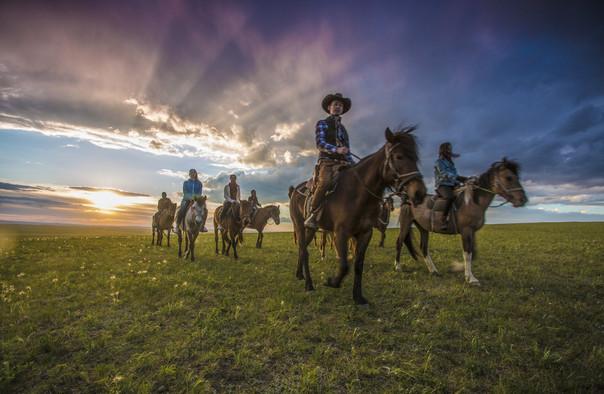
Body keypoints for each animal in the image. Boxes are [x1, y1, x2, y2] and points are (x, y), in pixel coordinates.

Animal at [292, 127, 424, 304]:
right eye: (399, 156)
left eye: (415, 157)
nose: (419, 192)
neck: (356, 193)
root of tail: (295, 190)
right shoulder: (341, 232)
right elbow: (344, 265)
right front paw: (331, 282)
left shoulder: (365, 233)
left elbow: (358, 265)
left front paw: (358, 297)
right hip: (300, 226)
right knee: (304, 250)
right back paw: (309, 285)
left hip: (311, 229)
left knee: (302, 248)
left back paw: (300, 274)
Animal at [394, 159, 528, 284]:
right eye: (508, 178)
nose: (523, 199)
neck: (472, 202)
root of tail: (407, 198)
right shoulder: (466, 231)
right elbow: (467, 254)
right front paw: (470, 278)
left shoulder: (472, 232)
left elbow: (473, 253)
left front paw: (459, 268)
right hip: (406, 223)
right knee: (399, 242)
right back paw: (398, 267)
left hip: (423, 228)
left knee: (423, 247)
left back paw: (433, 270)